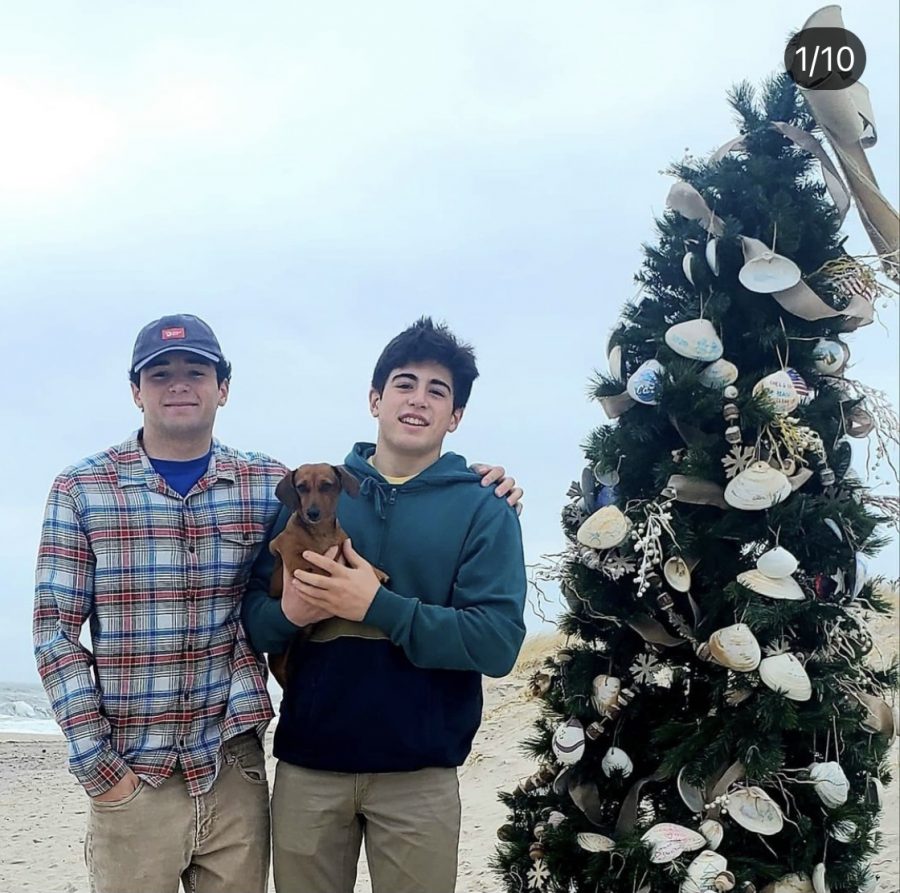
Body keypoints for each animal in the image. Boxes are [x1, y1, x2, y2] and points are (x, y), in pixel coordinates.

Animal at [268, 464, 386, 688]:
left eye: (326, 485)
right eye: (301, 487)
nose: (312, 513)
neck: (320, 532)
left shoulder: (343, 545)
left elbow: (354, 556)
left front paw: (377, 572)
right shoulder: (287, 551)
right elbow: (312, 565)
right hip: (279, 663)